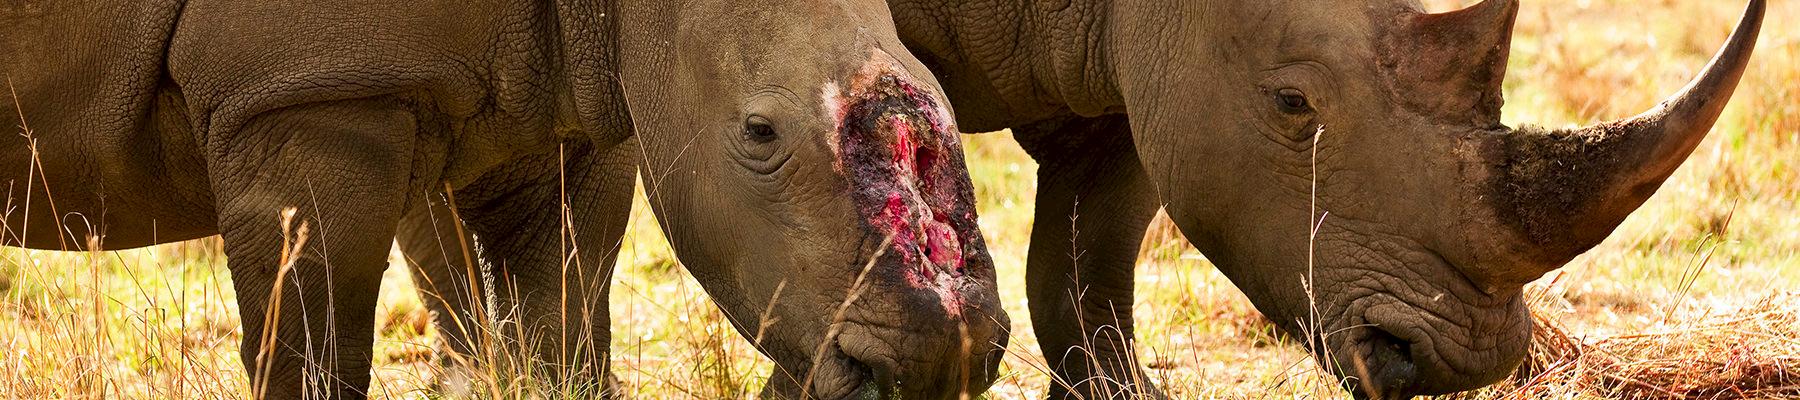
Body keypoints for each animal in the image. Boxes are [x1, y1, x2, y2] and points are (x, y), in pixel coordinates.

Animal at [0, 0, 1008, 396]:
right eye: (760, 133)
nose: (940, 360)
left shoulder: (572, 92)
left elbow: (560, 319)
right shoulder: (307, 92)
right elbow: (313, 346)